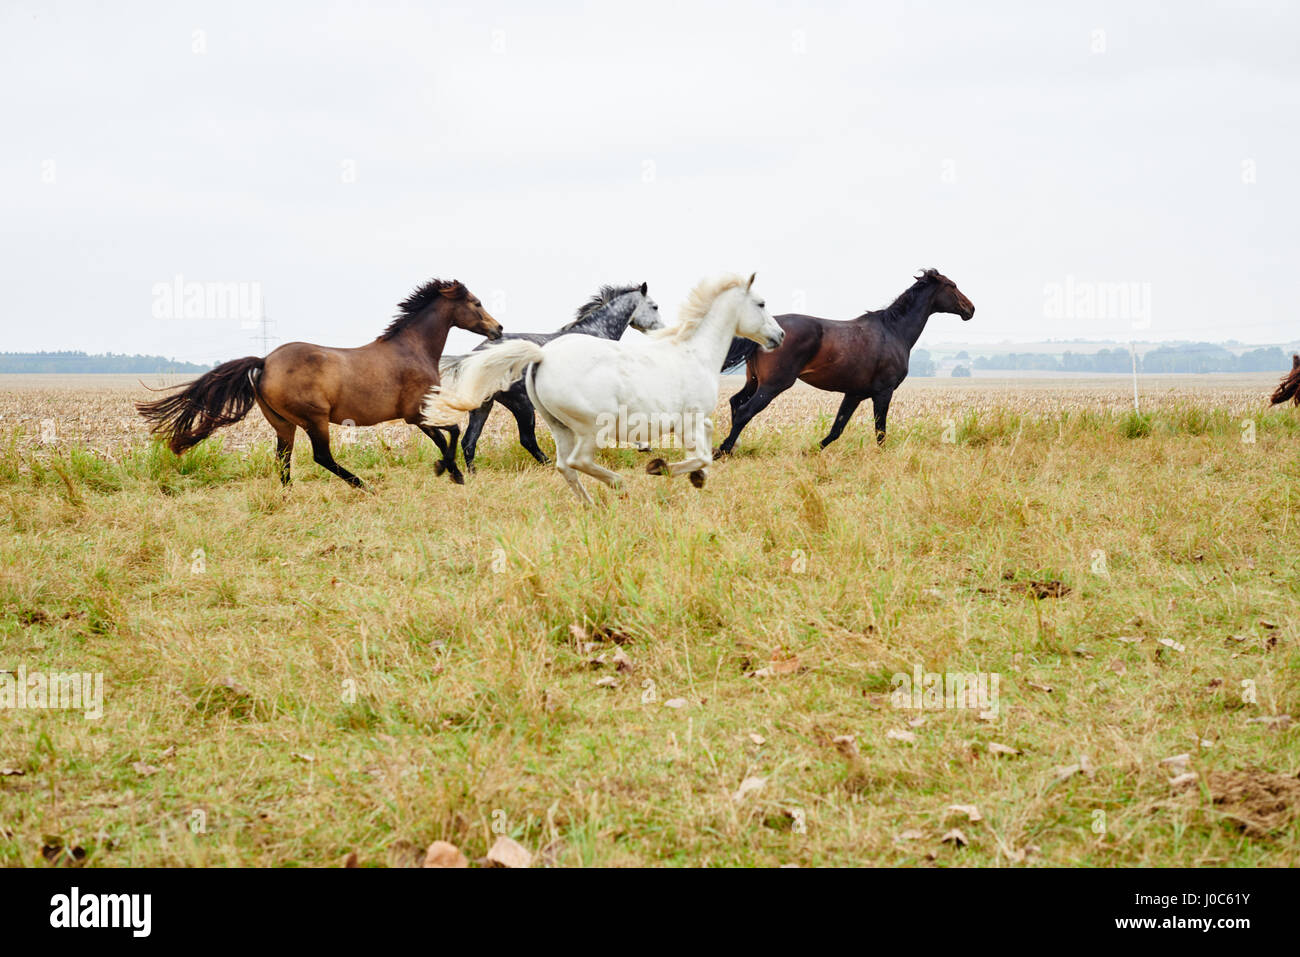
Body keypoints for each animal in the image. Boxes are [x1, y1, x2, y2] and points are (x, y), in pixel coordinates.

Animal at [137, 274, 499, 486]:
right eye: (477, 302)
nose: (499, 328)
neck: (413, 349)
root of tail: (264, 361)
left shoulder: (417, 415)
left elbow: (445, 435)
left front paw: (451, 472)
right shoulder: (415, 413)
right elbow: (450, 433)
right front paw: (449, 471)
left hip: (283, 423)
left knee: (283, 460)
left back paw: (289, 496)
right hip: (315, 419)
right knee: (321, 457)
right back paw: (361, 485)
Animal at [423, 273, 780, 504]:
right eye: (761, 304)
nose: (779, 336)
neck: (694, 352)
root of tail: (540, 356)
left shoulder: (695, 420)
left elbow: (703, 454)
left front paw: (693, 476)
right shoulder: (691, 418)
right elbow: (701, 455)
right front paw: (661, 467)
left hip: (507, 411)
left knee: (505, 450)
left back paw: (586, 503)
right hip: (576, 422)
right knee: (561, 455)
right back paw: (617, 485)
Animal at [712, 265, 977, 452]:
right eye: (952, 285)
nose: (971, 309)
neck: (893, 330)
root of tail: (769, 331)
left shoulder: (854, 394)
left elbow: (837, 428)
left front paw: (812, 451)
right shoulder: (884, 392)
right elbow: (880, 431)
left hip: (755, 381)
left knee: (735, 403)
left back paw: (731, 447)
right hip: (773, 384)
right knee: (744, 411)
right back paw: (722, 451)